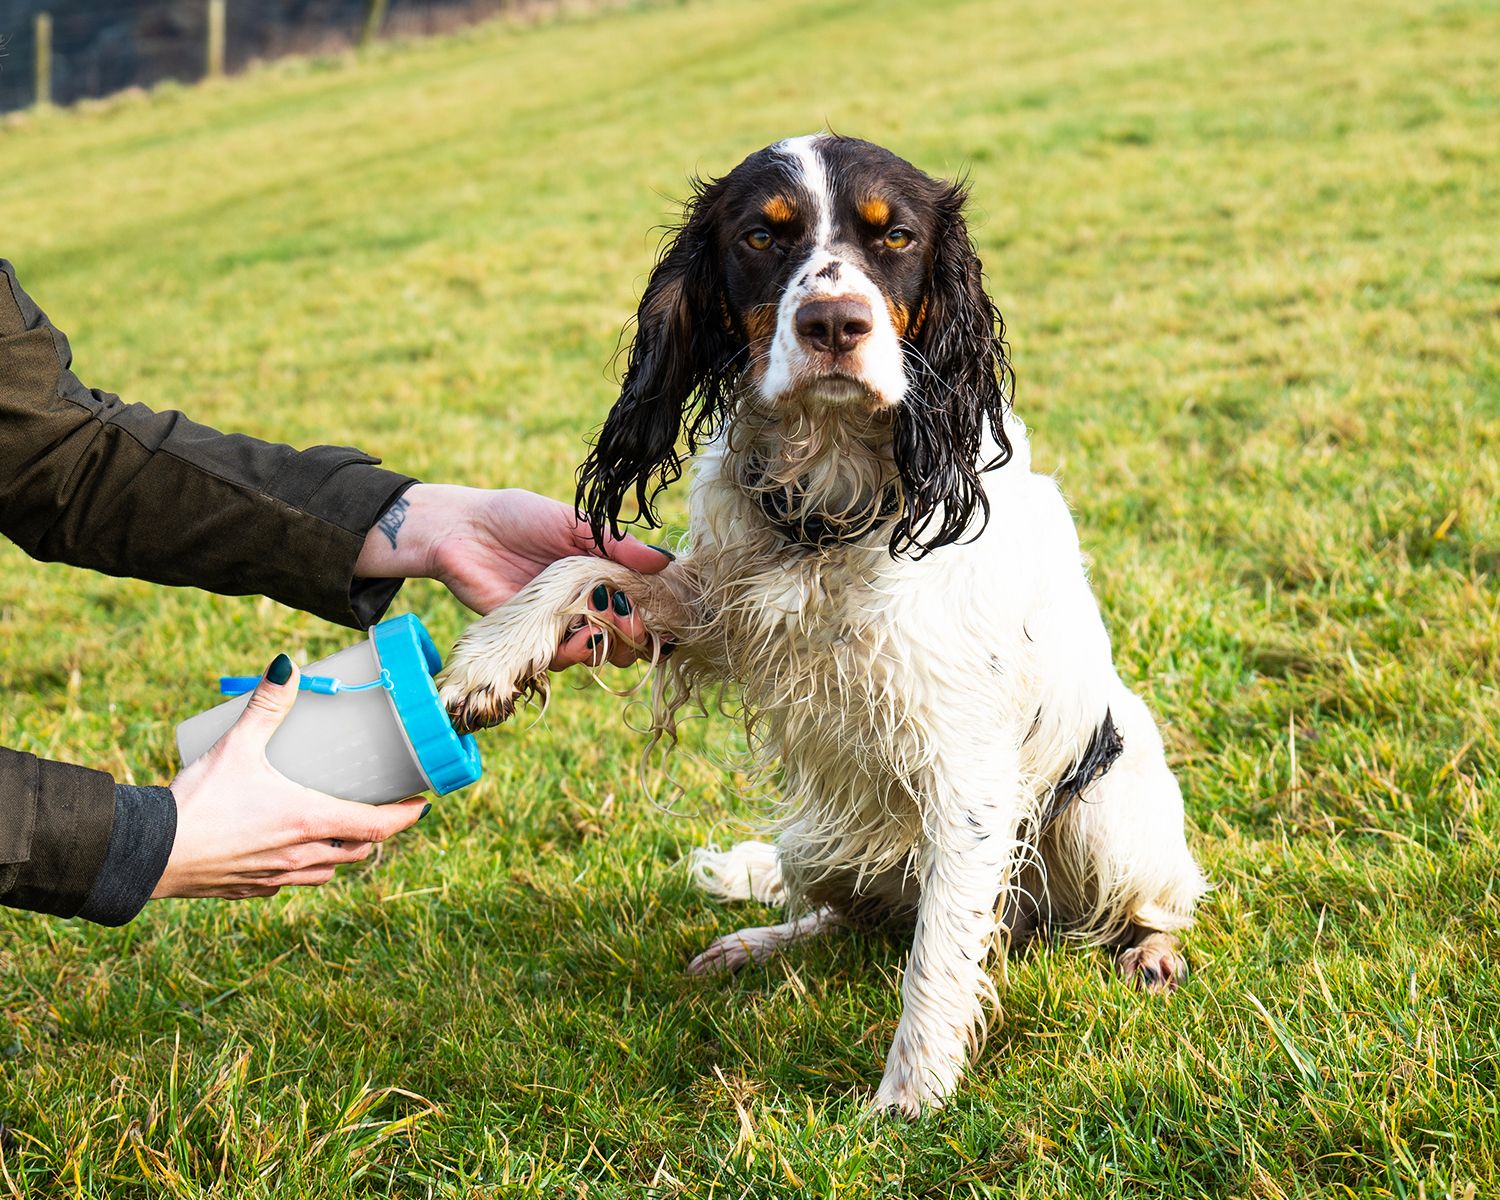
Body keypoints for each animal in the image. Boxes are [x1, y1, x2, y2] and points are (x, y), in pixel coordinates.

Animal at [438, 133, 1212, 1116]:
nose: (835, 323)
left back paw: (1151, 952)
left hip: (1105, 820)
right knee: (848, 919)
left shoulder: (967, 769)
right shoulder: (722, 612)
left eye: (897, 237)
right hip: (822, 841)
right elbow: (585, 569)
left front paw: (909, 1101)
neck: (836, 485)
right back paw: (756, 945)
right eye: (762, 237)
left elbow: (938, 959)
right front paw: (489, 661)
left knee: (1152, 902)